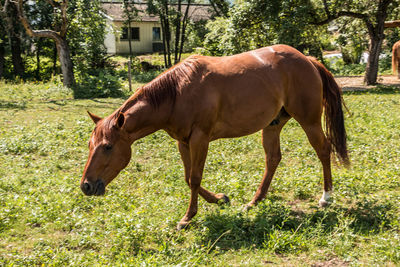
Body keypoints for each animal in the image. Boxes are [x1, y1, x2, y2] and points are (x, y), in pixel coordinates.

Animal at [79, 44, 348, 230]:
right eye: (91, 145)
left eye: (107, 146)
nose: (86, 186)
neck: (176, 92)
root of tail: (307, 59)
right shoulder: (182, 141)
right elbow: (188, 178)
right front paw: (220, 199)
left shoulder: (200, 139)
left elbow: (195, 178)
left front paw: (187, 218)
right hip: (272, 125)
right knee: (273, 159)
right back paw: (255, 201)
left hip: (309, 121)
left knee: (323, 149)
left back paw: (326, 197)